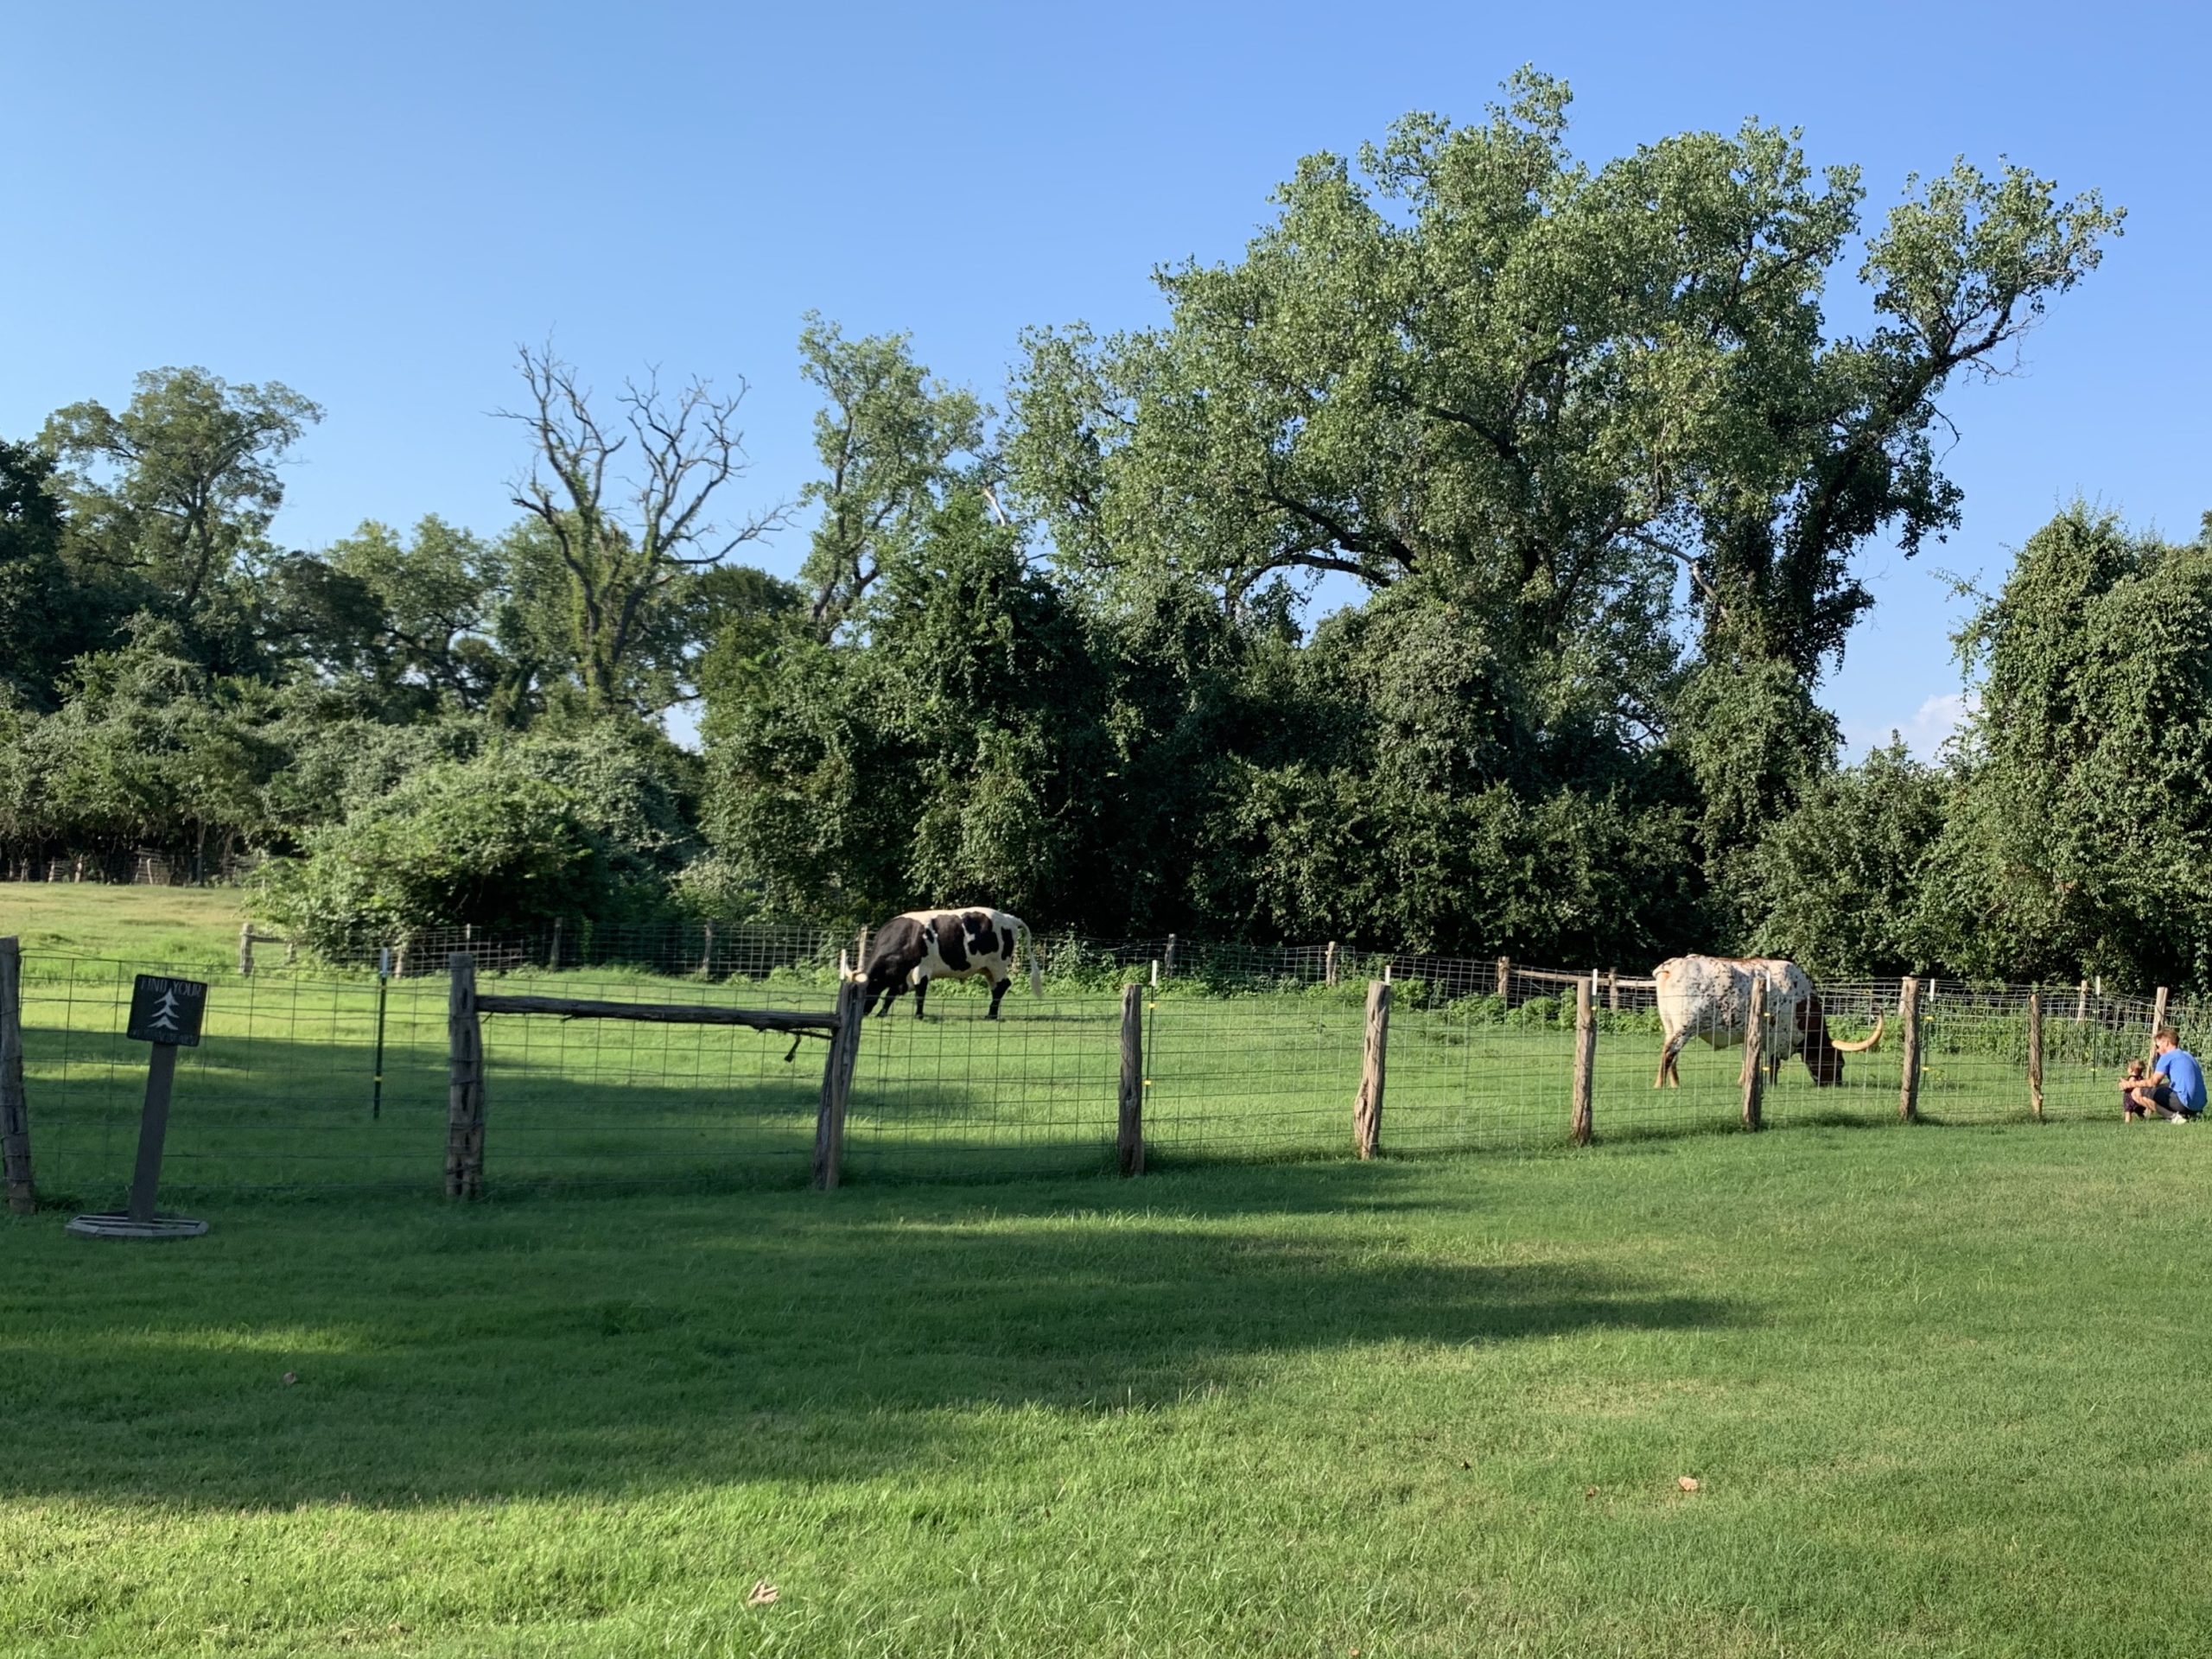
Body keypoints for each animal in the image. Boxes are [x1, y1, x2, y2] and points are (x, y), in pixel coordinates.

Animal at [858, 911, 1039, 1013]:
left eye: (866, 991)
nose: (863, 1012)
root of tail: (1009, 918)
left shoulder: (921, 970)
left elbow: (920, 995)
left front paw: (919, 1015)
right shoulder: (901, 977)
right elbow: (890, 996)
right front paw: (882, 1014)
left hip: (998, 964)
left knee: (1003, 985)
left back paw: (991, 1015)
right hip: (988, 968)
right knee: (997, 988)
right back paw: (992, 1014)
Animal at [1654, 960, 1875, 1092]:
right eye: (1839, 1063)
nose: (1836, 1085)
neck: (1801, 1003)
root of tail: (1672, 965)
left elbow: (1747, 1060)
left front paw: (1743, 1083)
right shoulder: (1777, 1037)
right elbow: (1773, 1064)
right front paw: (1773, 1085)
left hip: (1671, 1026)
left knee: (1672, 1055)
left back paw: (1675, 1085)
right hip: (1685, 1027)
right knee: (1669, 1053)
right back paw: (1659, 1085)